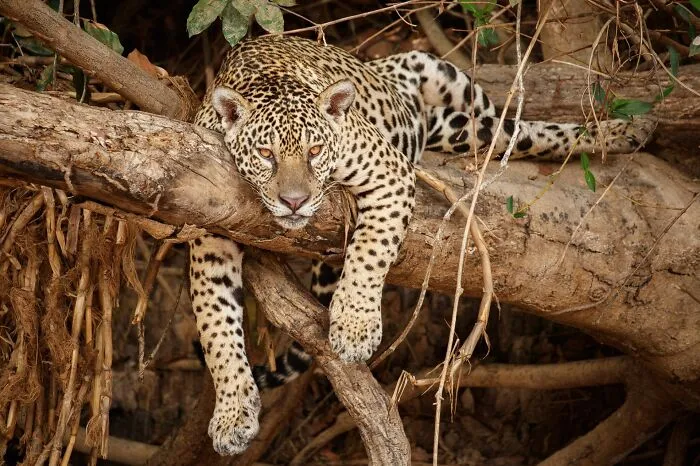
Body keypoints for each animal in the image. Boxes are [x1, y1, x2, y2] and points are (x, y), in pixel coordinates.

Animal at [187, 35, 654, 455]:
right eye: (265, 154)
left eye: (315, 150)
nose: (294, 201)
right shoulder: (209, 229)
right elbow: (215, 325)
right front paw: (231, 415)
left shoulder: (389, 171)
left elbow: (370, 251)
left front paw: (355, 327)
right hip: (455, 126)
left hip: (446, 78)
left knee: (520, 127)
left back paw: (627, 129)